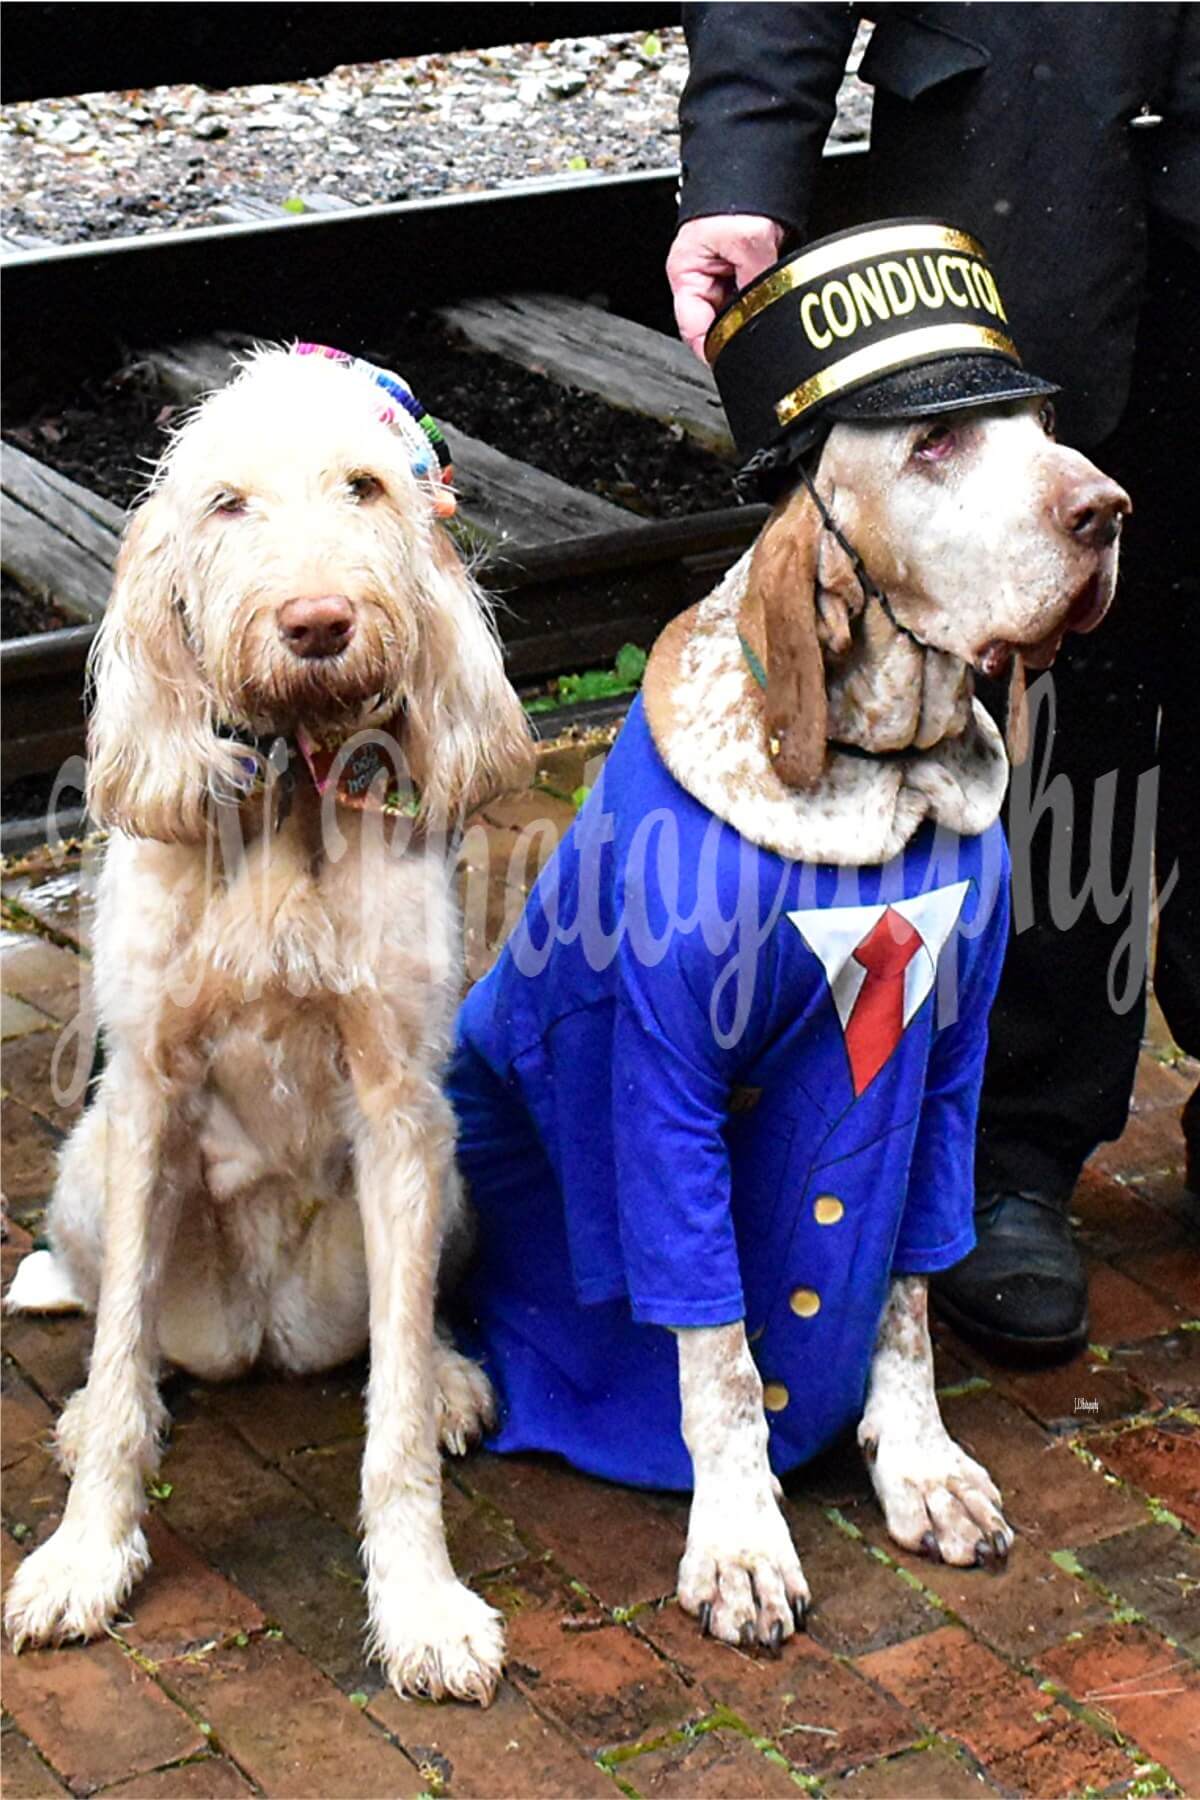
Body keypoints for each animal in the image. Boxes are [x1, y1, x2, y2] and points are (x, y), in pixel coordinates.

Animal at [1, 347, 536, 1699]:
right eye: (227, 503)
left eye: (365, 487)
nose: (318, 624)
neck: (292, 788)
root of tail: (263, 1335)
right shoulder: (144, 1096)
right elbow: (121, 1361)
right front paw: (86, 1553)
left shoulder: (402, 1111)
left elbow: (390, 1422)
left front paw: (421, 1602)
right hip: (89, 1176)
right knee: (128, 1335)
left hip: (453, 1181)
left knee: (401, 1334)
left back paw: (449, 1376)